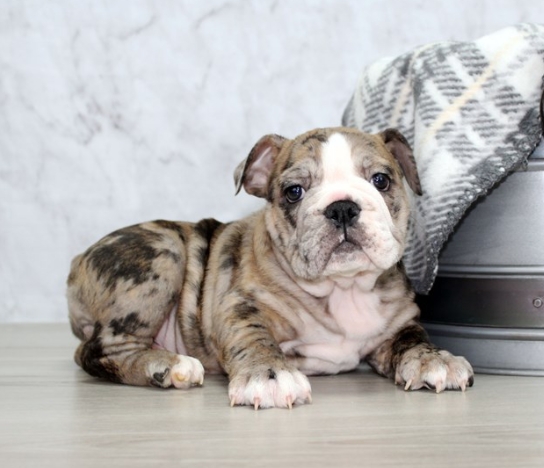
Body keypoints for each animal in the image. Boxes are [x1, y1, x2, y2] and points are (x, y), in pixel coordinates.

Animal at [68, 128, 474, 410]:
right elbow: (253, 335)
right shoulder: (238, 304)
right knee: (97, 350)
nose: (342, 207)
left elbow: (413, 338)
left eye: (381, 180)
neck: (343, 288)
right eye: (294, 191)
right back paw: (167, 366)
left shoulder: (399, 323)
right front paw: (268, 375)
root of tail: (76, 263)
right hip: (163, 253)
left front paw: (433, 359)